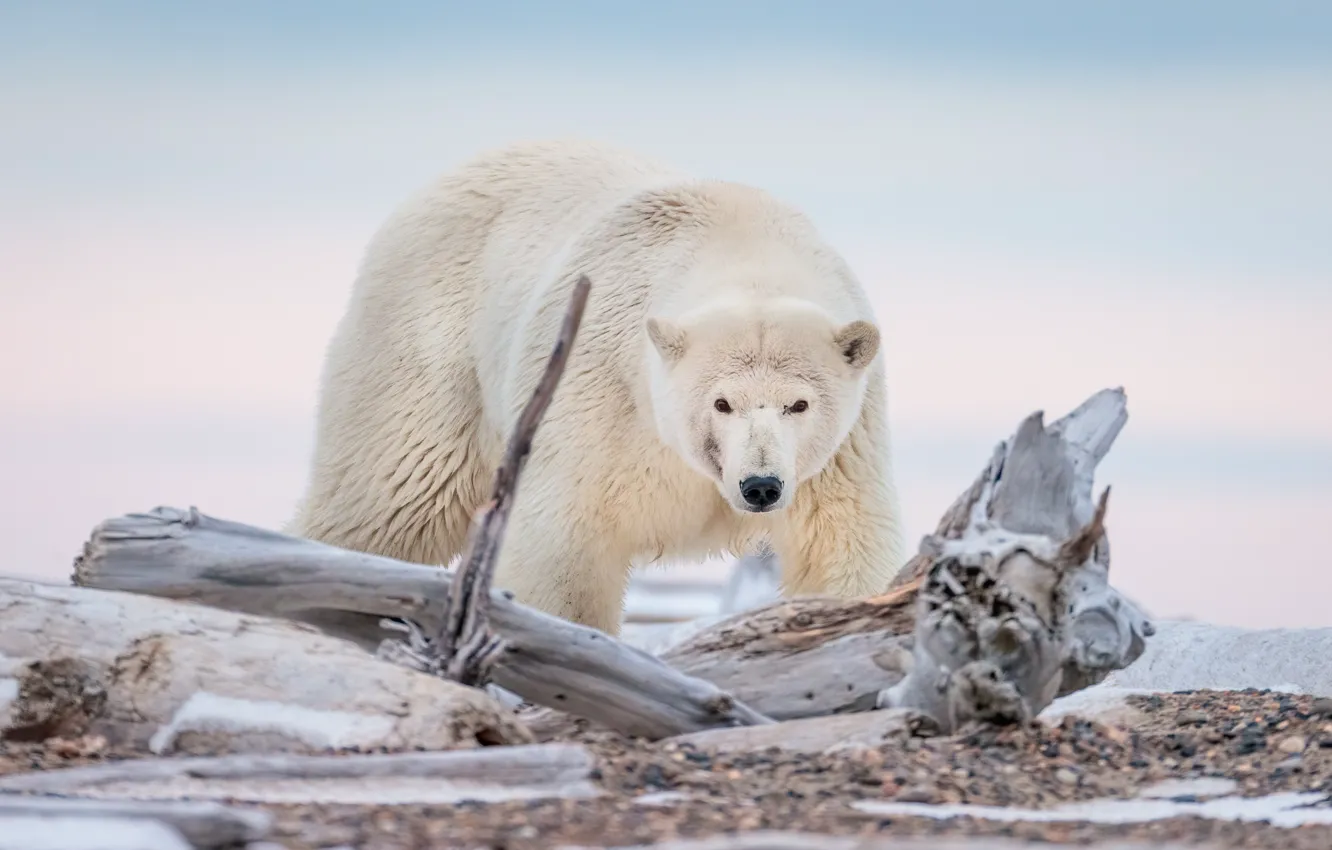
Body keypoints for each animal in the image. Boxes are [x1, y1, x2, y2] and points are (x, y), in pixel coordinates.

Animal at [290, 139, 905, 636]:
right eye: (721, 402)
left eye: (799, 403)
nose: (760, 487)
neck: (741, 242)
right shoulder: (598, 395)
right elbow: (566, 549)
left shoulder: (843, 448)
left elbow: (842, 544)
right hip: (430, 345)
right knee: (390, 498)